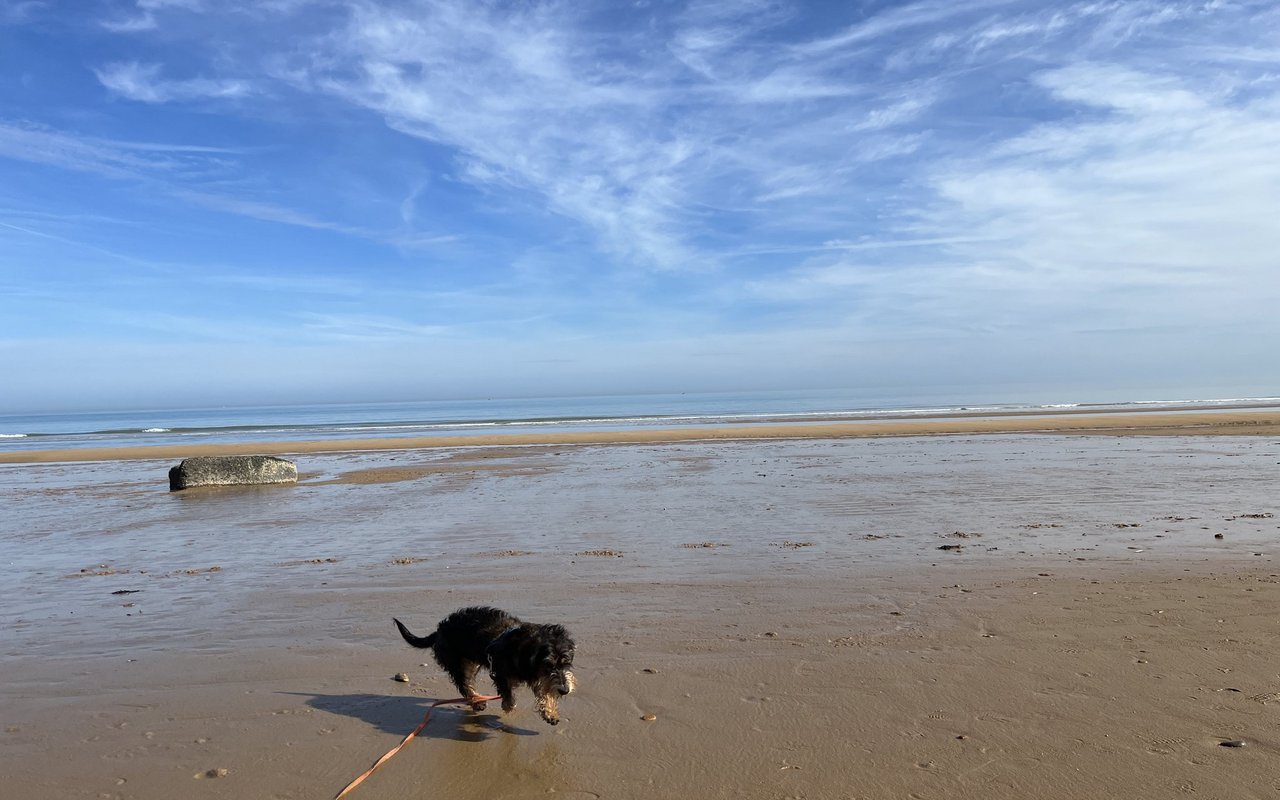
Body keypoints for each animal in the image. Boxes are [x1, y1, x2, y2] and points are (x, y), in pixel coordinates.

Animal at [391, 604, 578, 721]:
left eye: (566, 663)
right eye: (548, 664)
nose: (565, 690)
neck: (521, 648)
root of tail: (439, 631)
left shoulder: (538, 676)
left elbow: (545, 691)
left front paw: (550, 713)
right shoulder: (499, 672)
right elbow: (508, 693)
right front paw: (508, 705)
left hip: (470, 662)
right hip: (457, 663)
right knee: (465, 685)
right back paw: (478, 702)